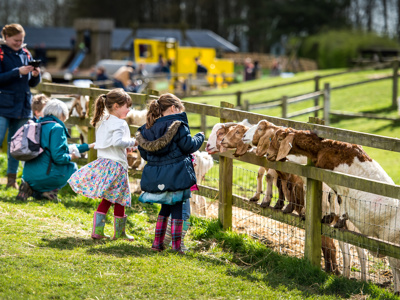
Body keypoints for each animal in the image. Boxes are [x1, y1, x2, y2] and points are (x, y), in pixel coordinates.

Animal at [266, 127, 400, 292]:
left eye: (279, 138)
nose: (267, 154)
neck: (326, 148)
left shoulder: (343, 183)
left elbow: (341, 199)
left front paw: (339, 219)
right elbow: (332, 196)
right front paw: (330, 216)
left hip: (392, 242)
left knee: (396, 268)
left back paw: (396, 291)